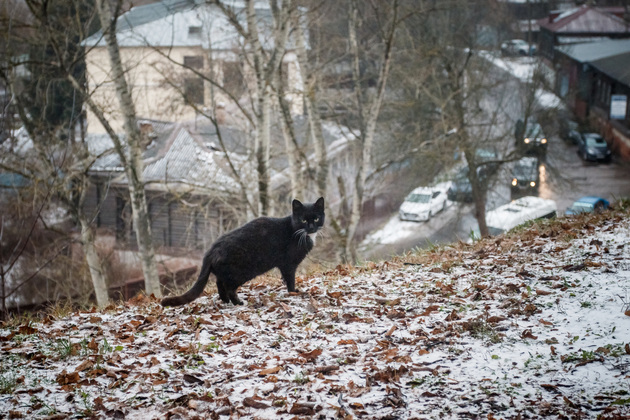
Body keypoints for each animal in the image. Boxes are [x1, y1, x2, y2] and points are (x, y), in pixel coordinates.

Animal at [161, 197, 325, 307]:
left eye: (316, 218)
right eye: (303, 220)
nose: (311, 227)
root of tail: (211, 250)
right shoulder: (288, 264)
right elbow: (290, 279)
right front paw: (294, 292)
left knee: (219, 283)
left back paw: (226, 301)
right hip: (240, 272)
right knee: (228, 286)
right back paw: (237, 302)